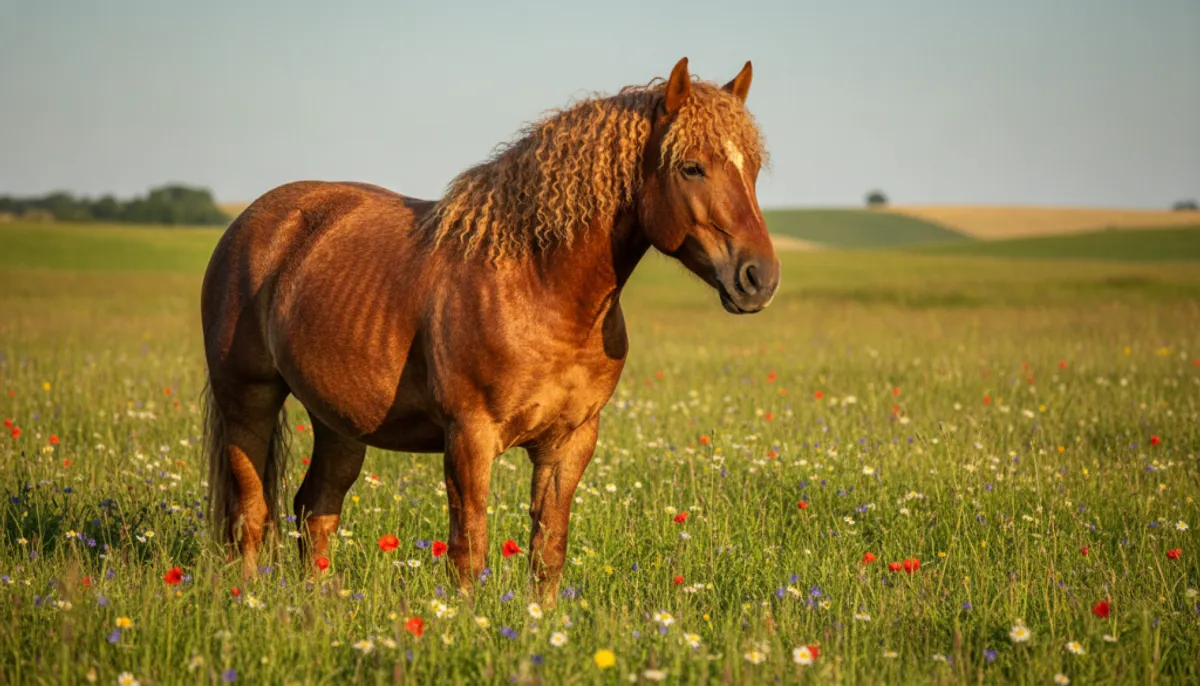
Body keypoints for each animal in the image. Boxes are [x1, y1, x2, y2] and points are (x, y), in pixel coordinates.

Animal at [201, 57, 780, 599]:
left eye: (751, 168)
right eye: (691, 167)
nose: (760, 278)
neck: (538, 289)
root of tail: (255, 222)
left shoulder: (569, 443)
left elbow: (548, 551)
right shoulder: (469, 437)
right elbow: (469, 551)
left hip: (339, 421)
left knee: (315, 509)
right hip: (249, 400)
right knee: (250, 514)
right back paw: (246, 601)